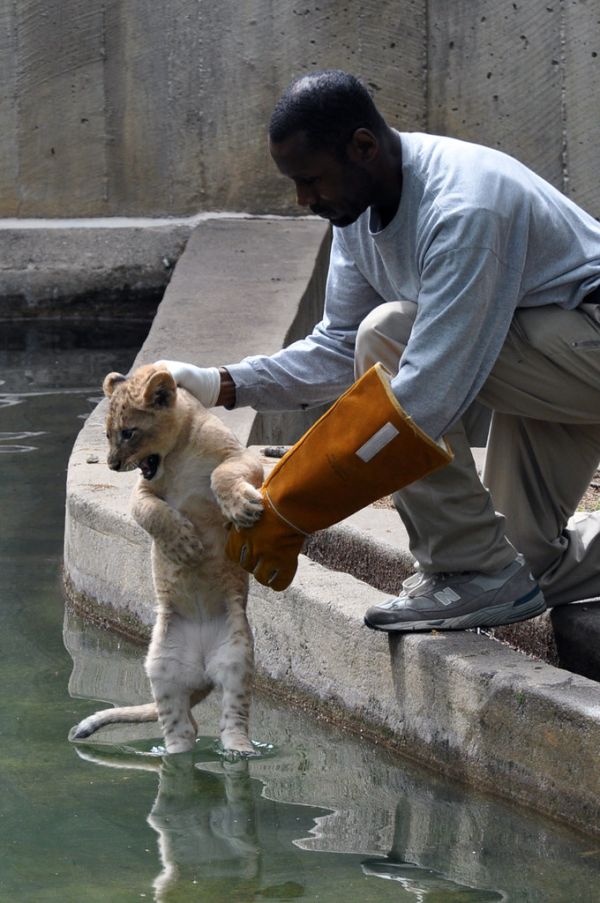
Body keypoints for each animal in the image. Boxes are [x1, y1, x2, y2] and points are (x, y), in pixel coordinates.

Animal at [70, 364, 264, 755]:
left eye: (128, 433)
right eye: (108, 434)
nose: (112, 465)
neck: (178, 454)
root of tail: (203, 670)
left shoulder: (245, 458)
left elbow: (222, 473)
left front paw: (241, 508)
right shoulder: (142, 491)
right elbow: (150, 512)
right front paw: (185, 546)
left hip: (237, 657)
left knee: (232, 717)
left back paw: (239, 749)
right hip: (162, 667)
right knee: (183, 725)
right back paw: (174, 754)